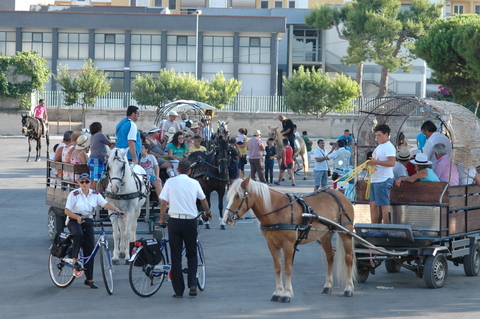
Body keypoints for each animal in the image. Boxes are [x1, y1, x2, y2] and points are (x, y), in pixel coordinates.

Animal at [224, 178, 356, 302]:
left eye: (238, 196)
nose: (226, 219)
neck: (277, 211)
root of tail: (340, 195)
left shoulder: (288, 245)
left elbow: (287, 268)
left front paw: (287, 294)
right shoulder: (272, 245)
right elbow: (277, 268)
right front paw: (277, 293)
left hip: (346, 233)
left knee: (349, 258)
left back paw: (348, 288)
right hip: (325, 235)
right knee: (330, 257)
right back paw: (328, 286)